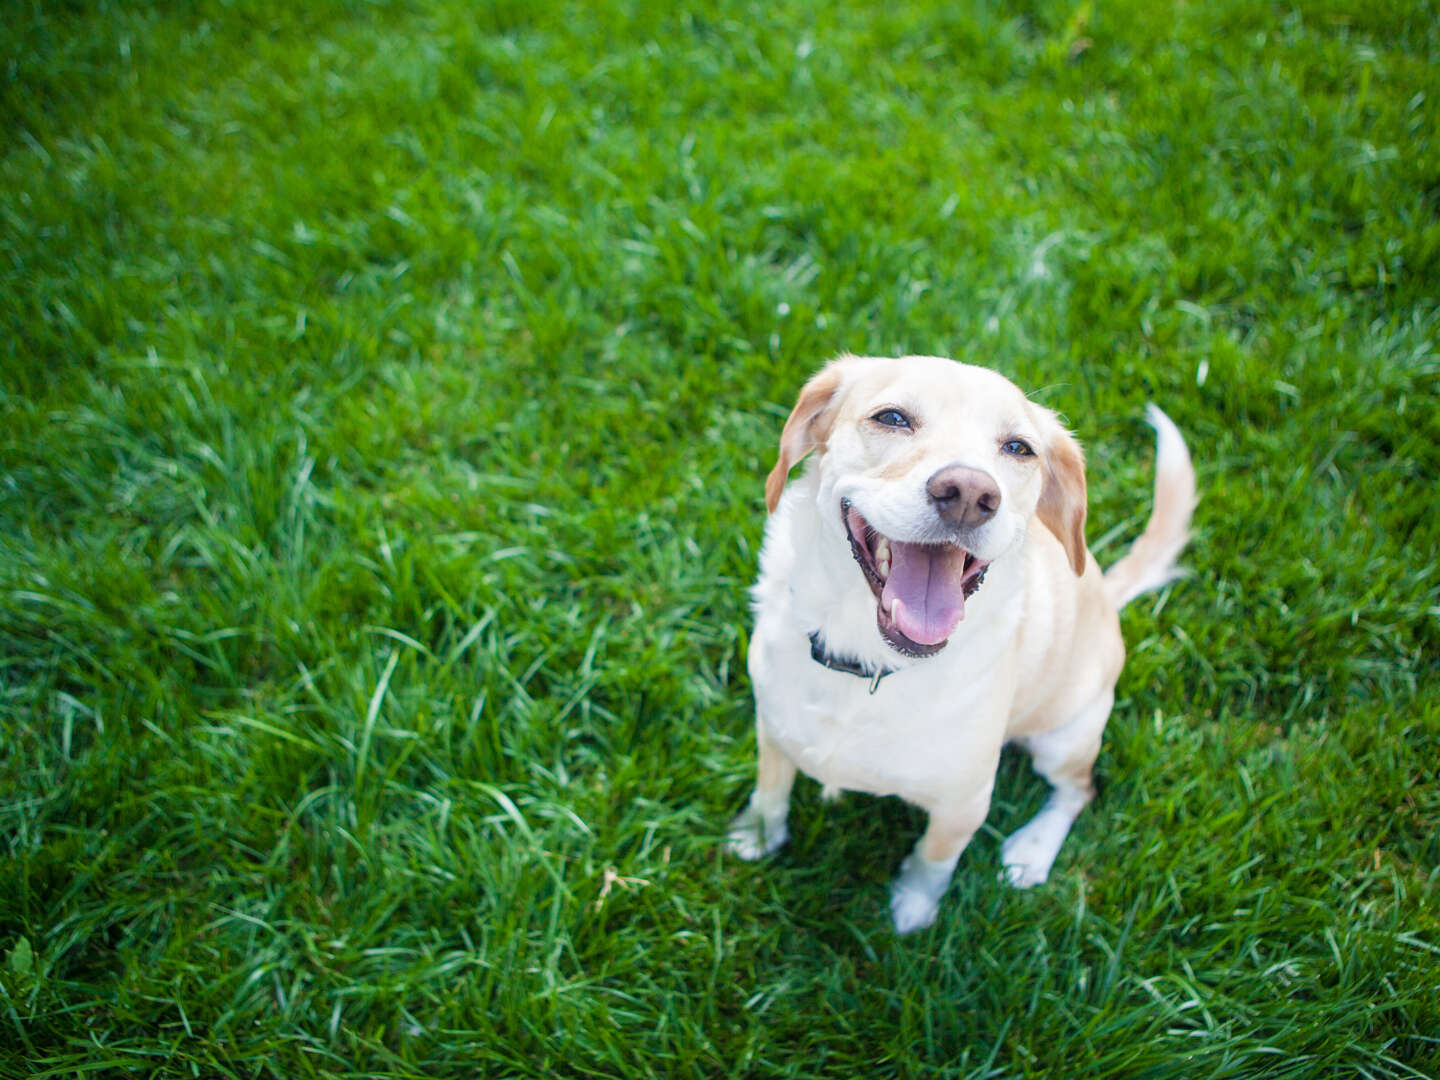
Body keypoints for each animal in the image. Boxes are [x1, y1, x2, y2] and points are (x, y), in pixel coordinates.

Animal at [731, 355, 1192, 933]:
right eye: (892, 418)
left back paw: (1031, 851)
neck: (869, 662)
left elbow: (935, 858)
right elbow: (770, 791)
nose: (971, 494)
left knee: (1077, 791)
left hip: (1064, 738)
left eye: (1018, 447)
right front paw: (758, 835)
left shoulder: (965, 802)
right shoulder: (773, 727)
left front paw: (913, 909)